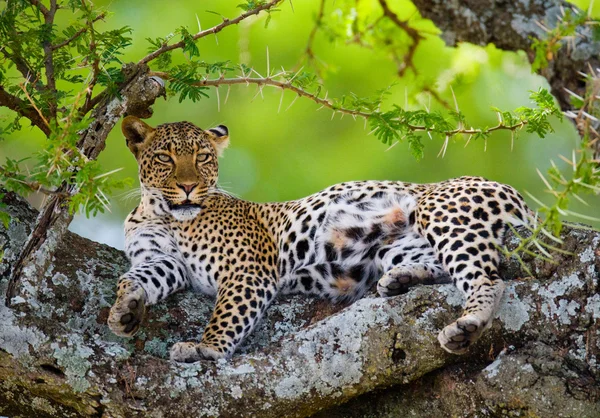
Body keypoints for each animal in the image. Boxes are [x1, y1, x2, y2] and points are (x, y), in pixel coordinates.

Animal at [106, 115, 528, 362]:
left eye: (204, 158)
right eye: (165, 158)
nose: (189, 187)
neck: (163, 214)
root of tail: (514, 191)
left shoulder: (247, 271)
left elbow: (227, 313)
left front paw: (205, 348)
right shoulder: (163, 260)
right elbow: (134, 277)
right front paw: (124, 310)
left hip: (440, 211)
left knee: (488, 278)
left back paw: (466, 325)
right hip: (395, 246)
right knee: (441, 265)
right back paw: (400, 279)